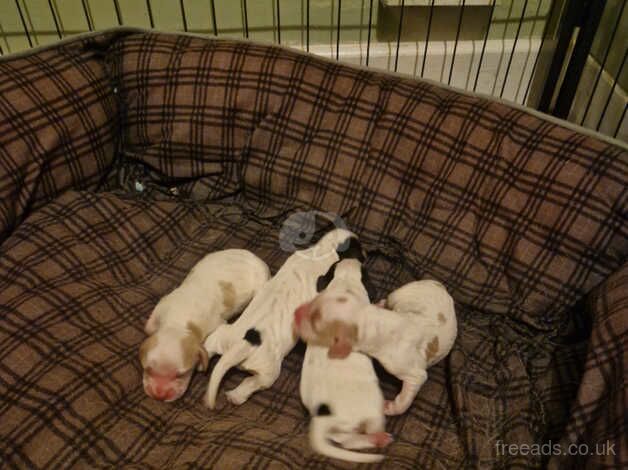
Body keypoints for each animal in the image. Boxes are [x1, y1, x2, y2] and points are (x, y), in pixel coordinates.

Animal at [139, 248, 268, 402]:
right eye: (147, 369)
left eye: (182, 374)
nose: (159, 396)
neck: (178, 322)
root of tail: (257, 259)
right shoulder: (161, 307)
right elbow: (148, 327)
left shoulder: (215, 324)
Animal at [202, 229, 358, 410]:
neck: (323, 249)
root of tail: (244, 343)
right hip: (269, 370)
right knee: (253, 382)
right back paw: (236, 396)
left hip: (219, 336)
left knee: (208, 349)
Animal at [294, 280, 456, 414]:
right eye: (314, 300)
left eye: (315, 322)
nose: (296, 312)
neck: (375, 321)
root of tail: (441, 286)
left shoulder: (410, 370)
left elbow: (408, 394)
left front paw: (390, 408)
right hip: (403, 292)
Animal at [296, 258, 392, 464]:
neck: (345, 281)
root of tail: (325, 415)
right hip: (373, 411)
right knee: (367, 430)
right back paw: (380, 437)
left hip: (340, 429)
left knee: (346, 440)